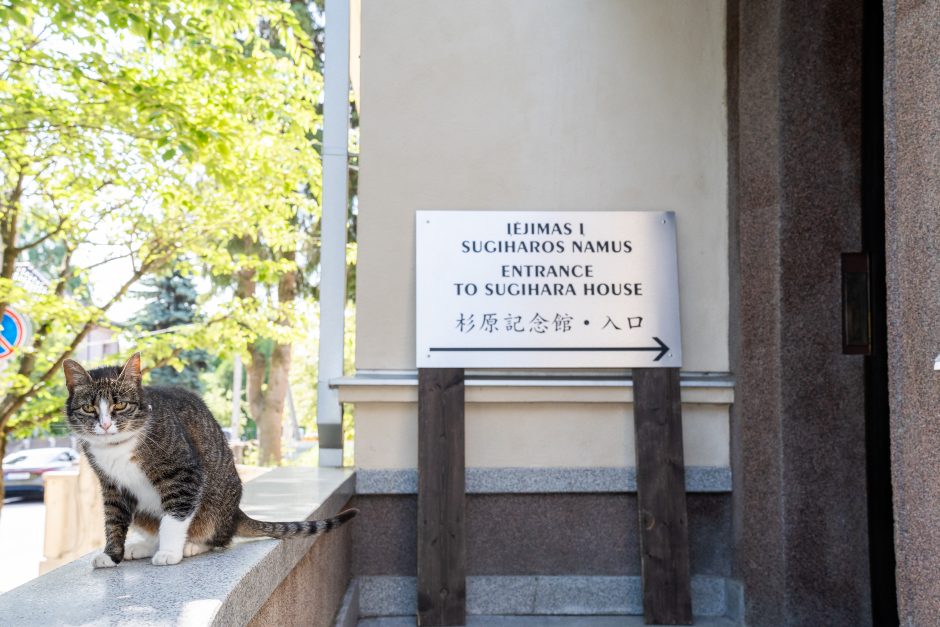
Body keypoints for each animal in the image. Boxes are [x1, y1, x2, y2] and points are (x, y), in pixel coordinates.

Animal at [62, 354, 356, 568]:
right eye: (89, 408)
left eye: (120, 405)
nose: (105, 425)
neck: (116, 447)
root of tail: (235, 514)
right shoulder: (111, 485)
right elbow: (113, 520)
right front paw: (112, 555)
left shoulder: (183, 472)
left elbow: (174, 517)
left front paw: (170, 552)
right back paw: (143, 546)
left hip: (215, 506)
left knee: (218, 537)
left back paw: (190, 546)